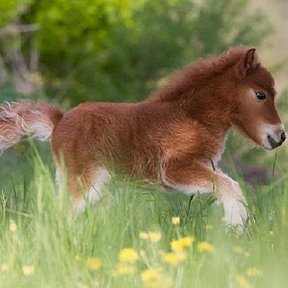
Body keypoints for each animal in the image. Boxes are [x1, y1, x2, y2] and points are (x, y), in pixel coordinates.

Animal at [0, 46, 284, 227]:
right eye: (260, 95)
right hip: (84, 181)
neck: (192, 116)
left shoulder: (203, 166)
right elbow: (230, 185)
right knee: (62, 212)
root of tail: (59, 120)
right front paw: (237, 228)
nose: (280, 136)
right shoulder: (174, 170)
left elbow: (229, 184)